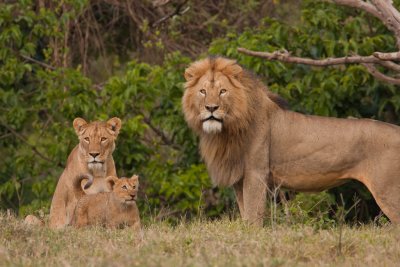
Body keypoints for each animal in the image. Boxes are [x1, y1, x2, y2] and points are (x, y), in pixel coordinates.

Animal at [184, 57, 400, 226]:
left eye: (223, 91)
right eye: (202, 91)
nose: (211, 108)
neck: (228, 129)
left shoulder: (257, 172)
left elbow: (253, 216)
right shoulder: (239, 178)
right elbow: (245, 215)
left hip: (387, 190)